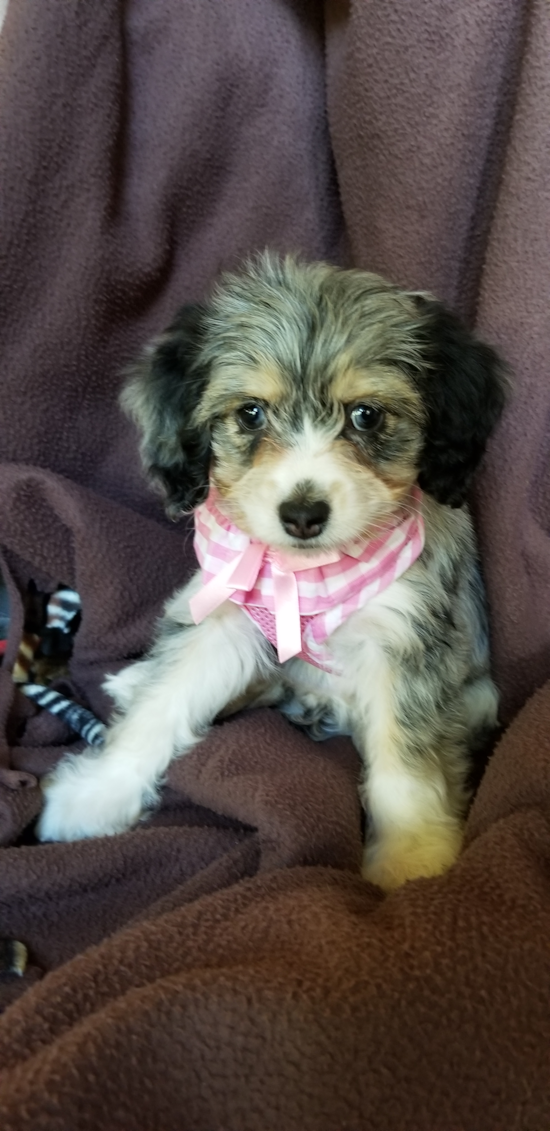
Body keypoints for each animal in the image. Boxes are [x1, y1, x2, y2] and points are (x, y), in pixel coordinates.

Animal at [36, 256, 504, 891]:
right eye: (250, 413)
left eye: (366, 415)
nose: (303, 514)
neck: (303, 575)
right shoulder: (225, 617)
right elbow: (162, 705)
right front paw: (98, 793)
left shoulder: (405, 641)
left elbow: (405, 766)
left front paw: (411, 860)